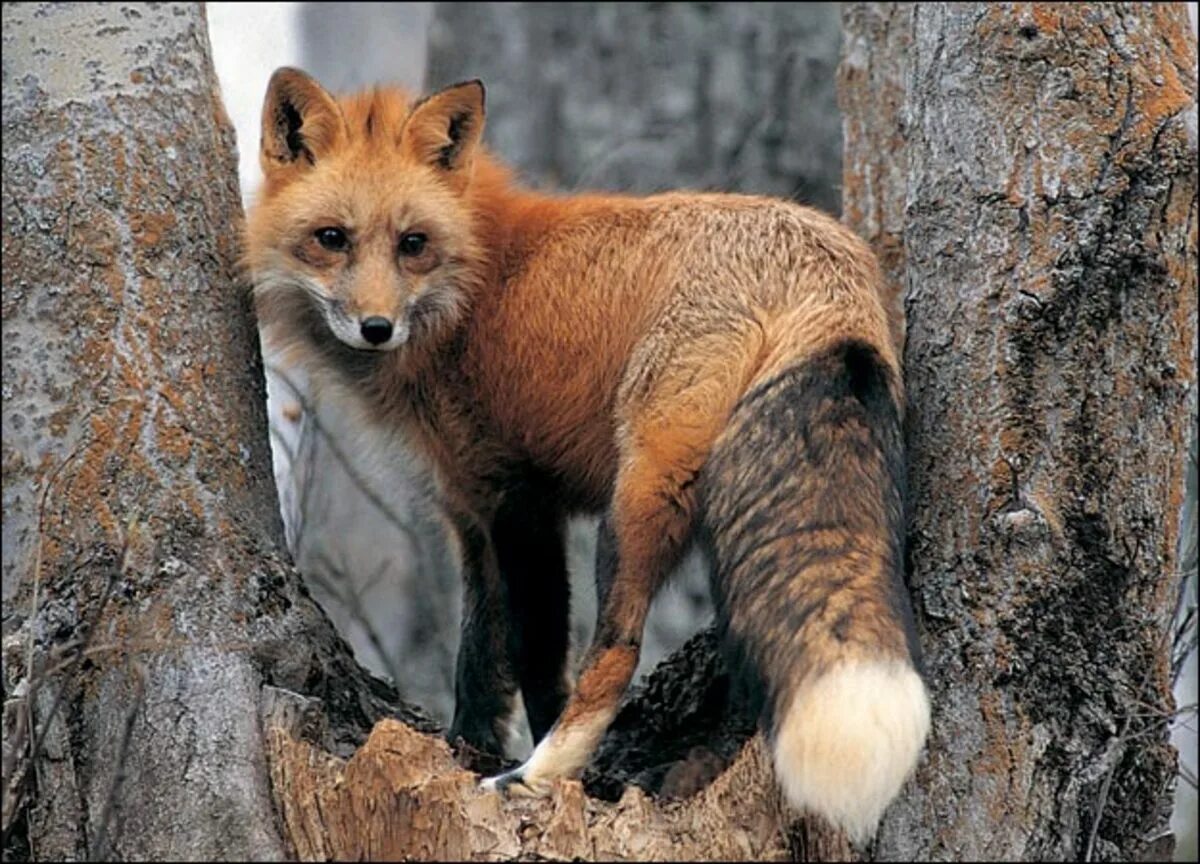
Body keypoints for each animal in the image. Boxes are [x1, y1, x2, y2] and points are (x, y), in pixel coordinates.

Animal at [246, 69, 926, 844]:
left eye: (412, 243)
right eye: (332, 239)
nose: (376, 327)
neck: (473, 287)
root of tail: (829, 259)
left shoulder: (518, 502)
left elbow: (538, 657)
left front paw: (521, 770)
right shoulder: (468, 509)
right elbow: (480, 654)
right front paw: (464, 749)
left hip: (638, 501)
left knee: (616, 649)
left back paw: (538, 773)